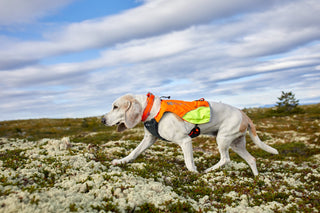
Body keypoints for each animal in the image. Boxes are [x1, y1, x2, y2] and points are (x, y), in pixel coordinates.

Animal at [102, 93, 278, 175]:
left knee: (225, 159)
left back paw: (207, 171)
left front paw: (194, 174)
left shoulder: (185, 141)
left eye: (115, 107)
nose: (102, 120)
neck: (152, 109)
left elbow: (188, 163)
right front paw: (121, 161)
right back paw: (256, 179)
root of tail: (244, 114)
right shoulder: (149, 139)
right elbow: (134, 152)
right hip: (237, 144)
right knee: (252, 159)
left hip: (222, 139)